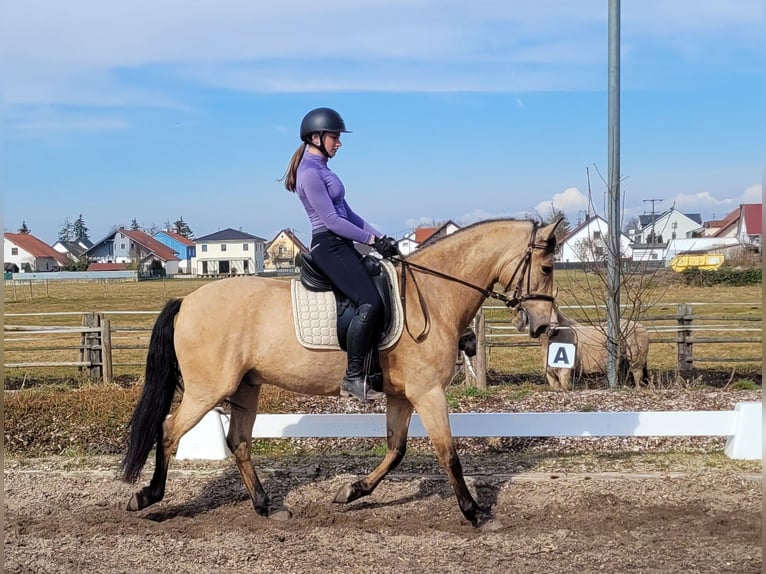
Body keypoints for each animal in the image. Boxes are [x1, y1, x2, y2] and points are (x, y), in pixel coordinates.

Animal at [121, 219, 564, 532]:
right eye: (546, 265)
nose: (541, 325)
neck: (435, 295)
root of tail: (186, 300)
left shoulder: (402, 395)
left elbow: (396, 449)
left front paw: (351, 491)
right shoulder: (428, 392)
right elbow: (448, 454)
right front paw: (476, 513)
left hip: (246, 387)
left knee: (240, 443)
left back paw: (267, 506)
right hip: (208, 389)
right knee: (169, 431)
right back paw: (147, 497)